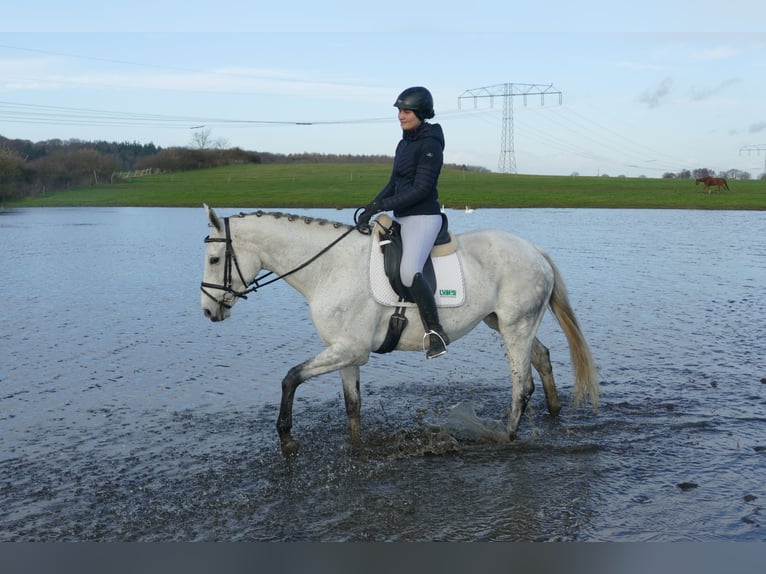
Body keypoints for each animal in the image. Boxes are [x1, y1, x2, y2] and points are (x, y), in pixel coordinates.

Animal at [198, 205, 600, 456]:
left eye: (215, 259)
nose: (207, 311)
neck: (329, 268)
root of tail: (535, 250)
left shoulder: (350, 349)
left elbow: (290, 377)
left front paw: (287, 441)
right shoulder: (345, 352)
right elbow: (352, 406)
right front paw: (356, 449)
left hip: (516, 326)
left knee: (521, 386)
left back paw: (506, 436)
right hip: (503, 322)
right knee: (542, 358)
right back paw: (554, 413)